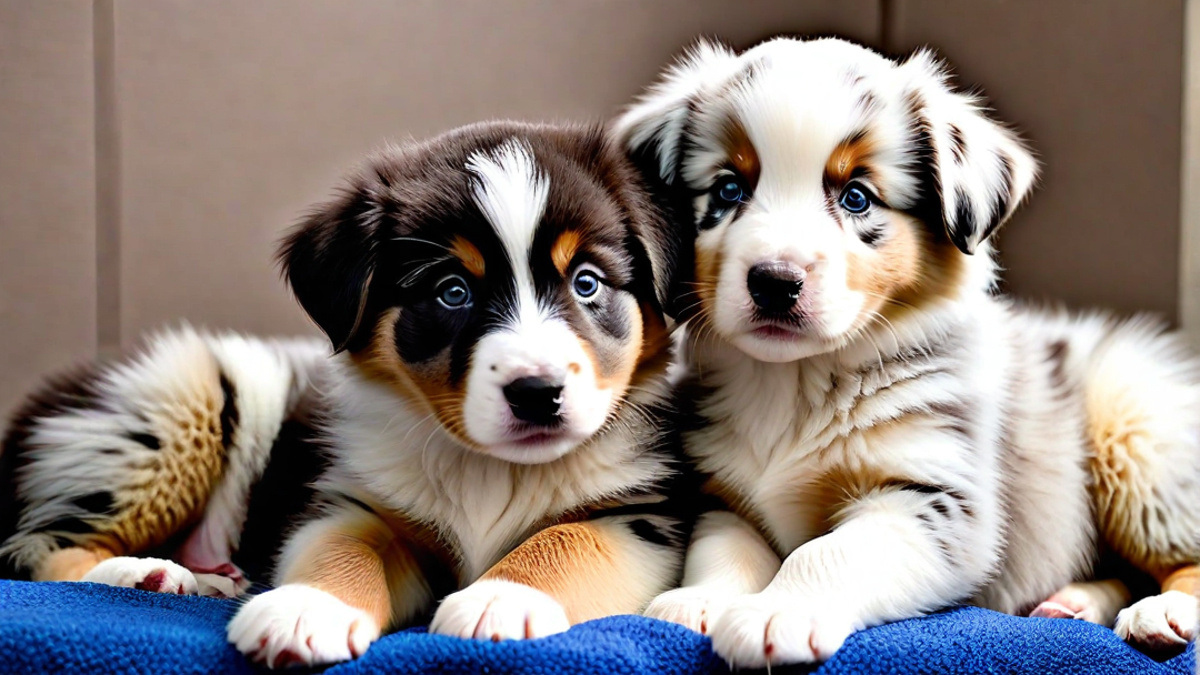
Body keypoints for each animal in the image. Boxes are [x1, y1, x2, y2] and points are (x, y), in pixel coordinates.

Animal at [222, 121, 696, 667]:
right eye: (453, 291)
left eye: (587, 283)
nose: (536, 393)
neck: (496, 471)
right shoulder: (357, 502)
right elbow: (343, 545)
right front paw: (306, 607)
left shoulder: (639, 515)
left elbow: (566, 537)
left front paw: (501, 599)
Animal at [614, 38, 1200, 667]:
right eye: (728, 190)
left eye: (856, 197)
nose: (774, 281)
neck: (795, 383)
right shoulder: (723, 496)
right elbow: (726, 551)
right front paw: (698, 602)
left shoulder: (934, 496)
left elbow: (828, 551)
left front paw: (778, 612)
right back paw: (1072, 604)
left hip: (1136, 437)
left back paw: (1161, 612)